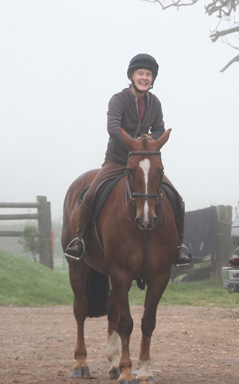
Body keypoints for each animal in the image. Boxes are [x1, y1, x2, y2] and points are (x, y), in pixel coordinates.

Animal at [60, 128, 178, 384]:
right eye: (130, 170)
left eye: (161, 170)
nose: (147, 219)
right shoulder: (121, 273)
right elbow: (126, 323)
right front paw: (126, 372)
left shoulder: (159, 276)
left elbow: (147, 322)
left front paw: (144, 371)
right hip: (78, 267)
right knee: (81, 309)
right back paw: (81, 364)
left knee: (112, 309)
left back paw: (113, 364)